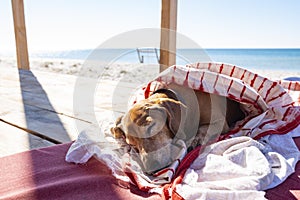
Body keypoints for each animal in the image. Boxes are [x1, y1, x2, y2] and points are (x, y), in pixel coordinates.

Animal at [111, 83, 245, 173]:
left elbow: (203, 128)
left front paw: (195, 140)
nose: (151, 169)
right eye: (132, 145)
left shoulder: (220, 122)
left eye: (151, 128)